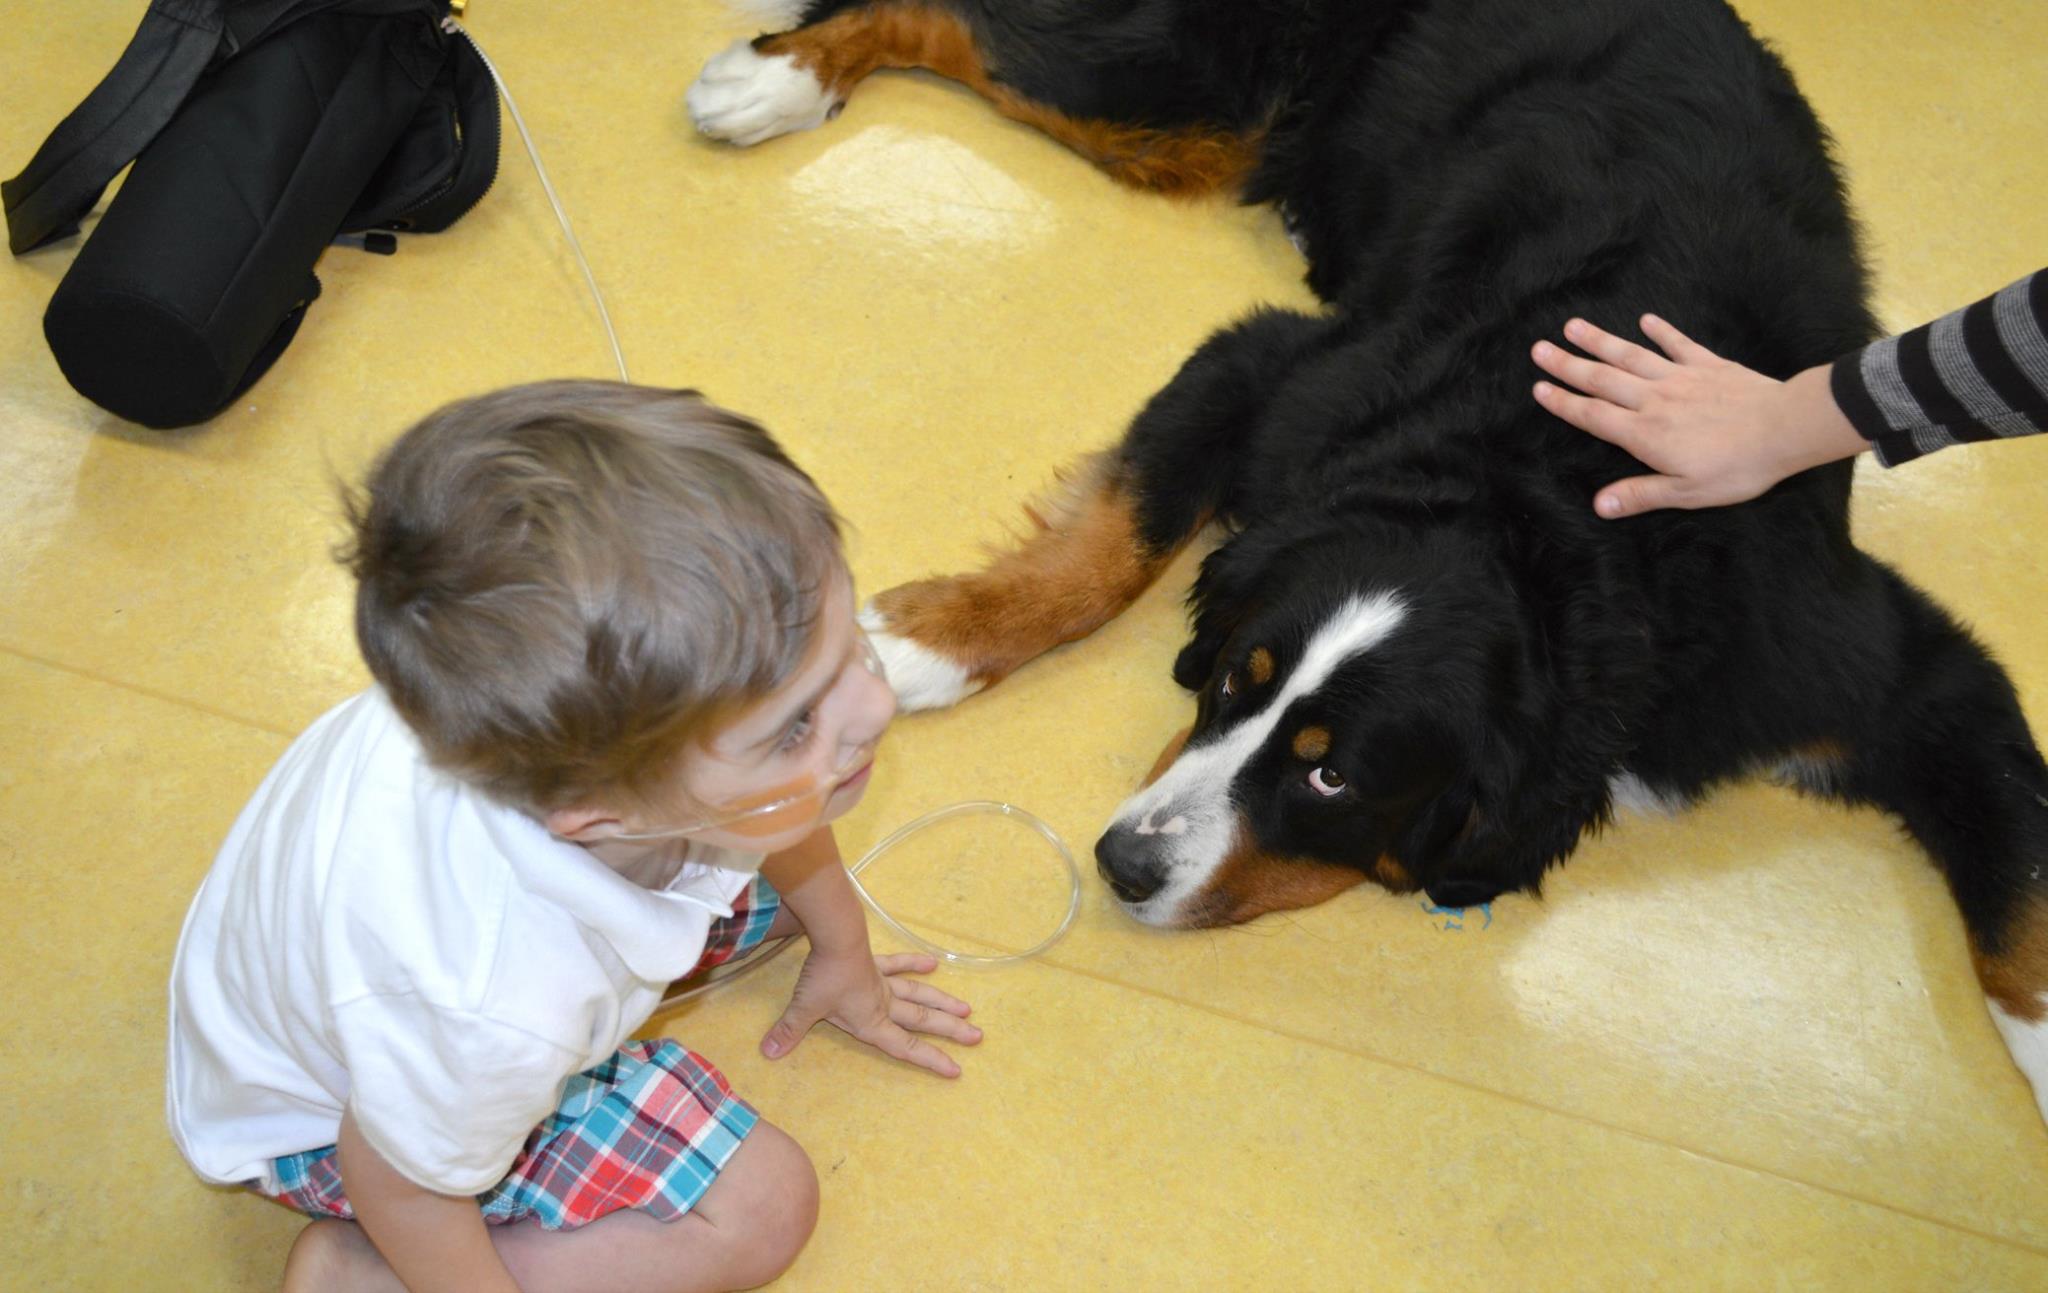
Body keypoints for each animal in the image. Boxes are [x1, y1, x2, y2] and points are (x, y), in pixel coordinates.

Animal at [684, 0, 2048, 1122]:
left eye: (1332, 776)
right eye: (1231, 678)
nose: (1124, 863)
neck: (1549, 508)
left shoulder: (1869, 669)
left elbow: (2020, 904)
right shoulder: (1269, 367)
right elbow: (1111, 550)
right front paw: (931, 643)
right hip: (1181, 88)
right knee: (959, 22)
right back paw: (776, 79)